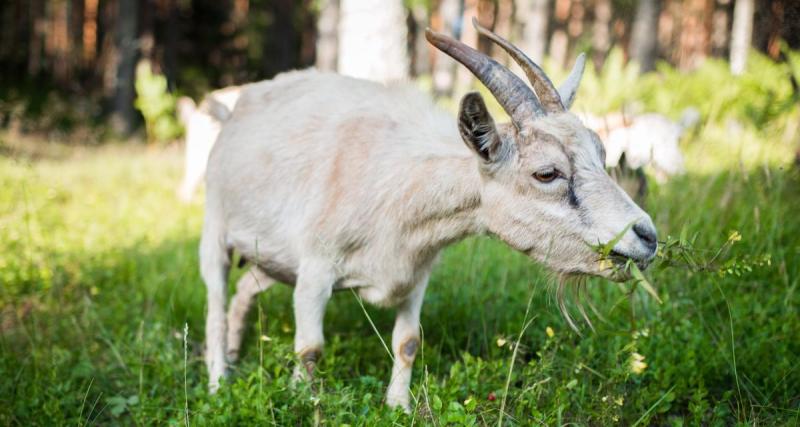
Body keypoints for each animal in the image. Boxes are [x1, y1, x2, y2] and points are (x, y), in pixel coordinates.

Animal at [198, 20, 656, 414]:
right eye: (547, 173)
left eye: (601, 153)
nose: (647, 236)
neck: (399, 183)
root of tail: (234, 112)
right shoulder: (315, 270)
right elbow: (310, 348)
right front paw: (303, 402)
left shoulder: (416, 273)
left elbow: (408, 342)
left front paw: (397, 407)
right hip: (215, 227)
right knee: (216, 304)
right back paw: (219, 381)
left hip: (271, 257)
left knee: (245, 290)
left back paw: (236, 352)